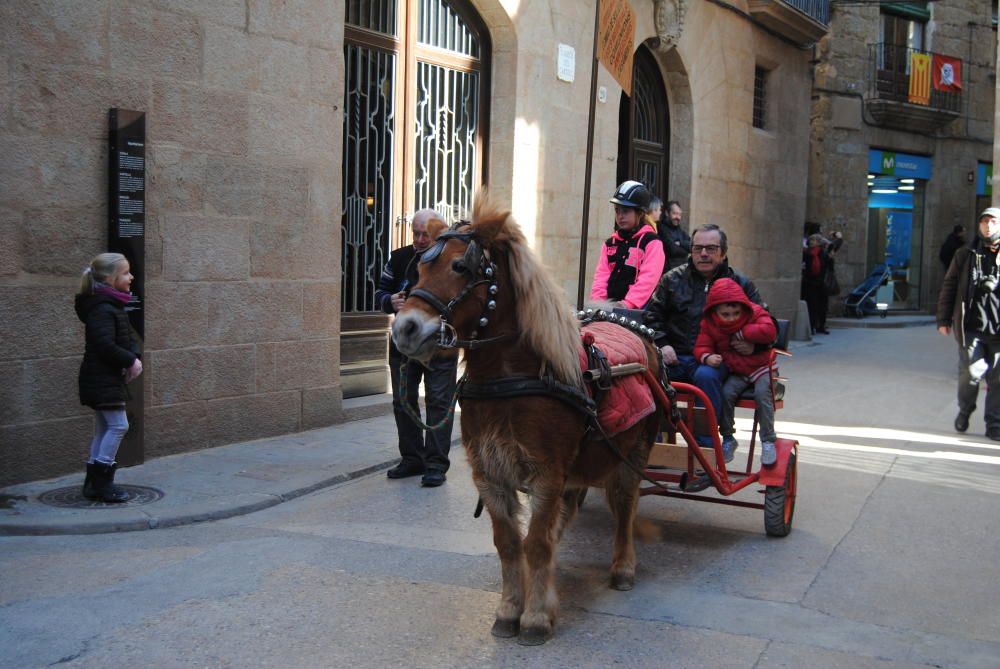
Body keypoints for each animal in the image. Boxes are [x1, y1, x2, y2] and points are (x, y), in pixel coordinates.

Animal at [390, 190, 664, 644]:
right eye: (421, 266)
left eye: (460, 266)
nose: (405, 329)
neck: (511, 380)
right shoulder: (491, 474)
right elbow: (509, 543)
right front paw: (510, 609)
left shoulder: (546, 474)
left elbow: (535, 542)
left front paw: (535, 617)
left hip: (635, 450)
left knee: (626, 504)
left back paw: (623, 567)